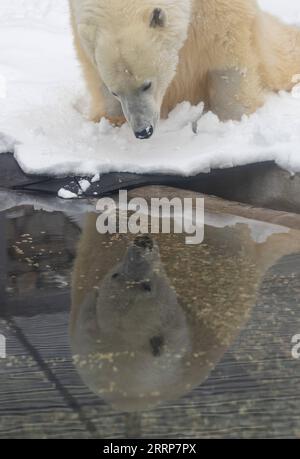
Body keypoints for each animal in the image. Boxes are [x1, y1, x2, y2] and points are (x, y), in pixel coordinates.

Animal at [69, 0, 300, 139]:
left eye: (147, 85)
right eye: (115, 92)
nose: (143, 130)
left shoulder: (217, 9)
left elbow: (225, 49)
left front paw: (229, 120)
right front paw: (111, 121)